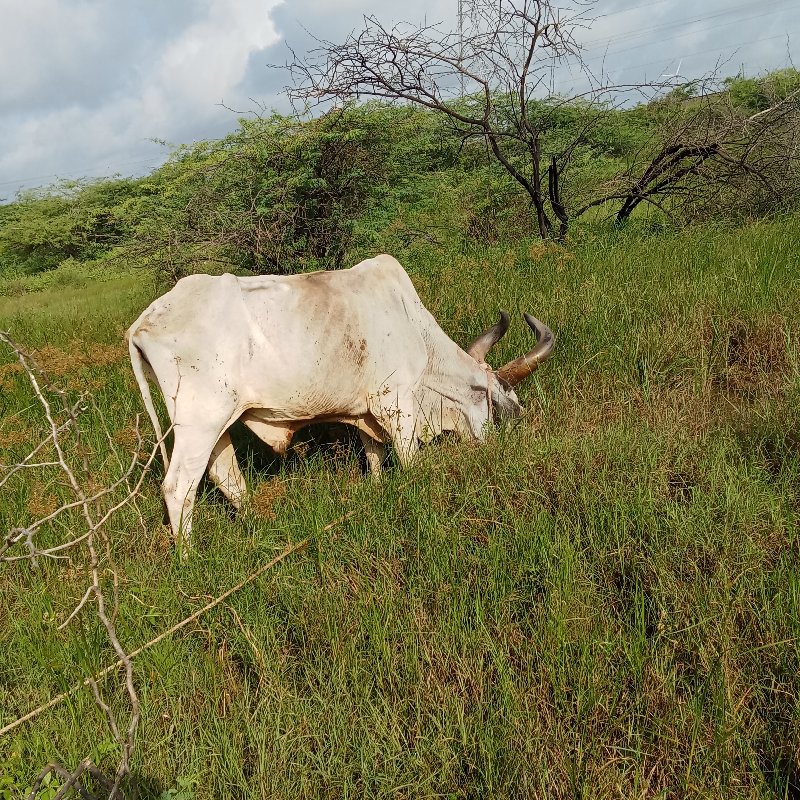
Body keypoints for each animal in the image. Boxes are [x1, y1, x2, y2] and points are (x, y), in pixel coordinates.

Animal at [128, 255, 552, 552]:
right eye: (497, 400)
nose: (507, 433)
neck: (413, 327)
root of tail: (143, 322)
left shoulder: (367, 412)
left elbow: (374, 454)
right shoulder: (396, 402)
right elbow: (411, 461)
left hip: (217, 424)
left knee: (227, 476)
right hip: (199, 422)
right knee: (178, 488)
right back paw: (189, 557)